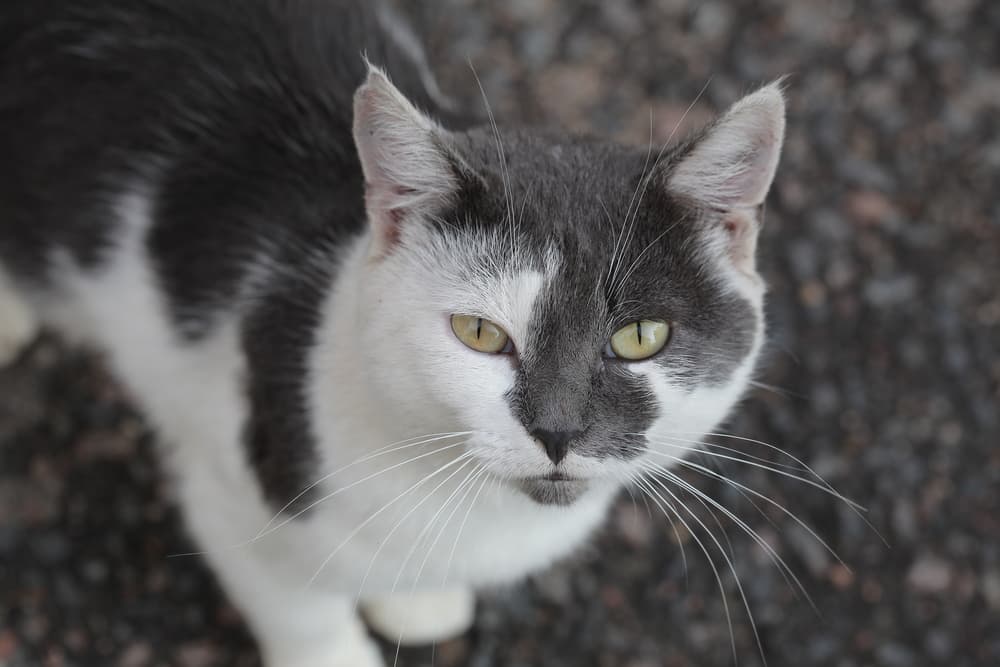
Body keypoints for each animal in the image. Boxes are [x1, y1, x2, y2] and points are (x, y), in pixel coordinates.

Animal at [0, 1, 780, 667]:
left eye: (641, 336)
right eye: (479, 332)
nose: (559, 430)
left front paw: (415, 599)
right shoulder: (227, 489)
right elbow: (298, 607)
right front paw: (336, 649)